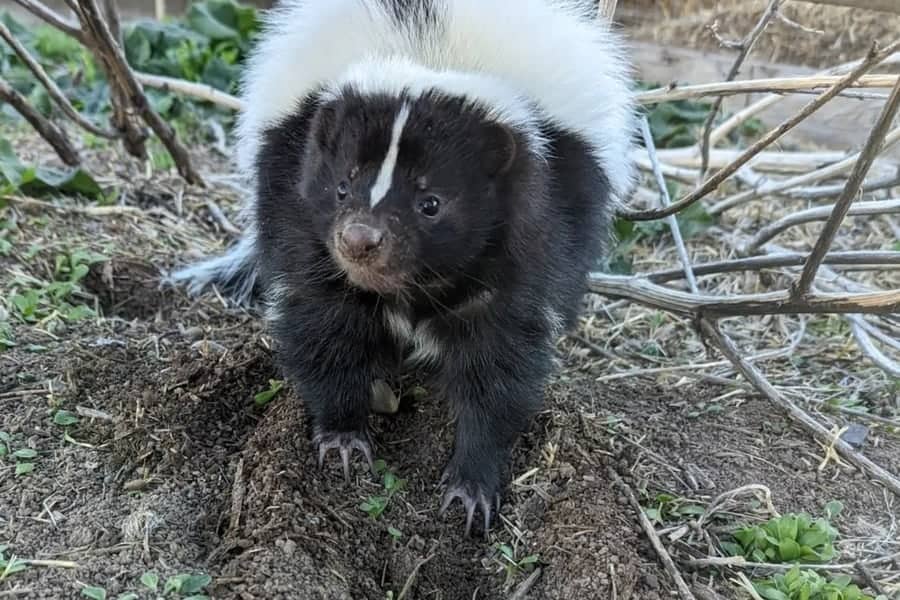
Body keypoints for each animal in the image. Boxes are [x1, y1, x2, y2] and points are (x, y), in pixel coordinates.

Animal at [172, 0, 636, 536]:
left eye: (430, 203)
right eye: (342, 187)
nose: (359, 240)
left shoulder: (531, 240)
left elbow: (501, 366)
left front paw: (472, 483)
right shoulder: (299, 214)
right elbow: (323, 326)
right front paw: (343, 435)